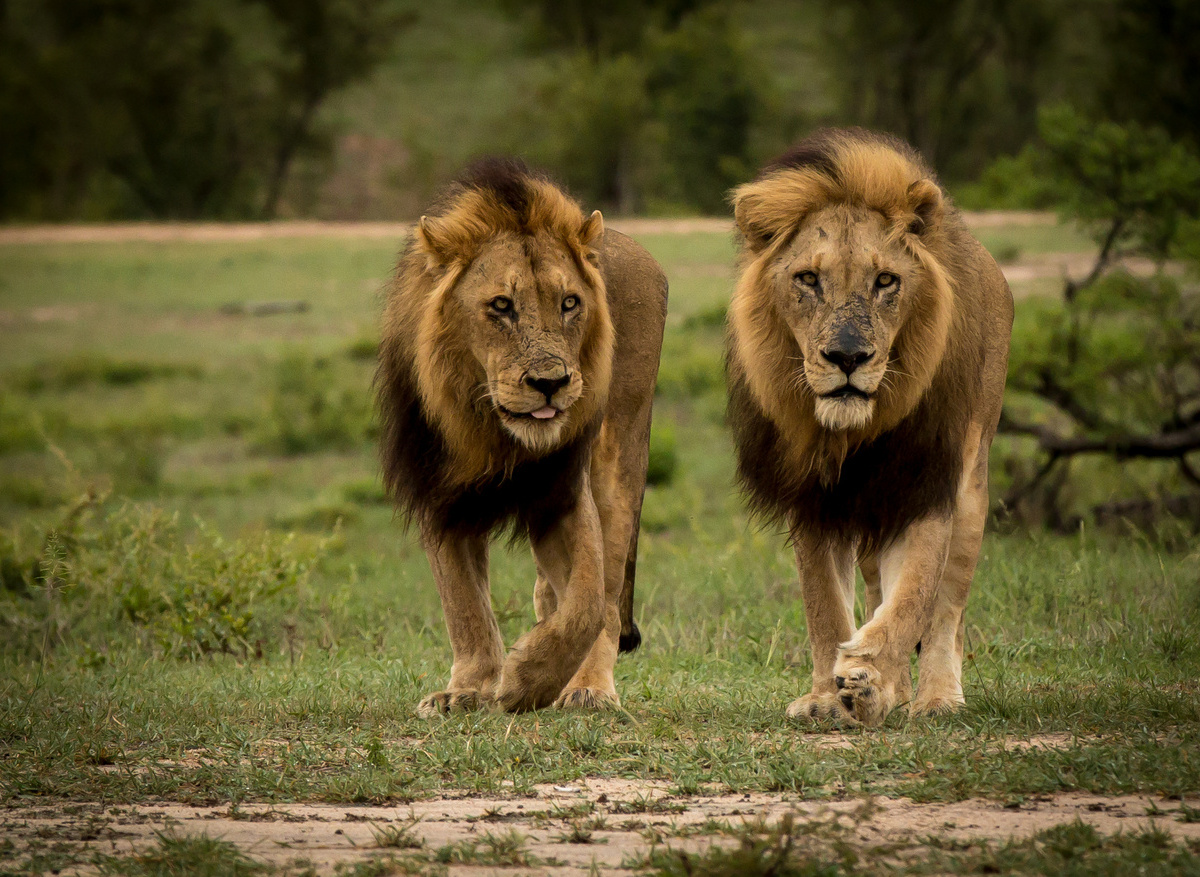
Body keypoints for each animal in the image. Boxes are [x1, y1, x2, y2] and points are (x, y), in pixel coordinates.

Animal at [376, 158, 667, 715]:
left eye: (570, 303)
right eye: (501, 306)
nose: (551, 382)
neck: (492, 432)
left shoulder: (564, 490)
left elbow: (587, 603)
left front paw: (527, 679)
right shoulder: (439, 492)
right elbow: (464, 603)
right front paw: (467, 689)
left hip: (621, 458)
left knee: (610, 593)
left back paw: (589, 688)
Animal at [725, 128, 1013, 726]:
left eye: (886, 280)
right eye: (808, 279)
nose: (848, 357)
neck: (850, 436)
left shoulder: (926, 483)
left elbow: (915, 596)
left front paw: (867, 674)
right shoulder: (812, 498)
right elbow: (824, 604)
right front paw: (826, 697)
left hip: (972, 488)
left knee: (946, 612)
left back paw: (935, 698)